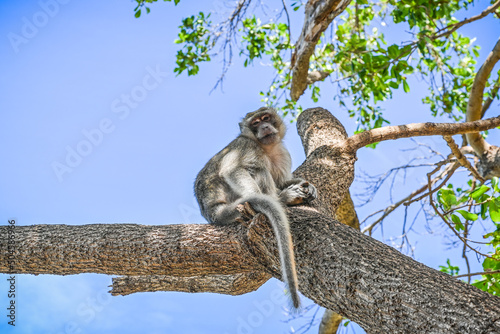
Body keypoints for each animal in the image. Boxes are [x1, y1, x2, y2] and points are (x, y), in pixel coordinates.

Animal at [194, 107, 316, 308]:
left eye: (266, 118)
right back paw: (281, 199)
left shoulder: (283, 153)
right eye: (256, 123)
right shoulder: (245, 146)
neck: (267, 148)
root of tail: (212, 211)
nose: (265, 126)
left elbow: (282, 181)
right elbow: (234, 170)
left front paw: (309, 186)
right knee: (257, 168)